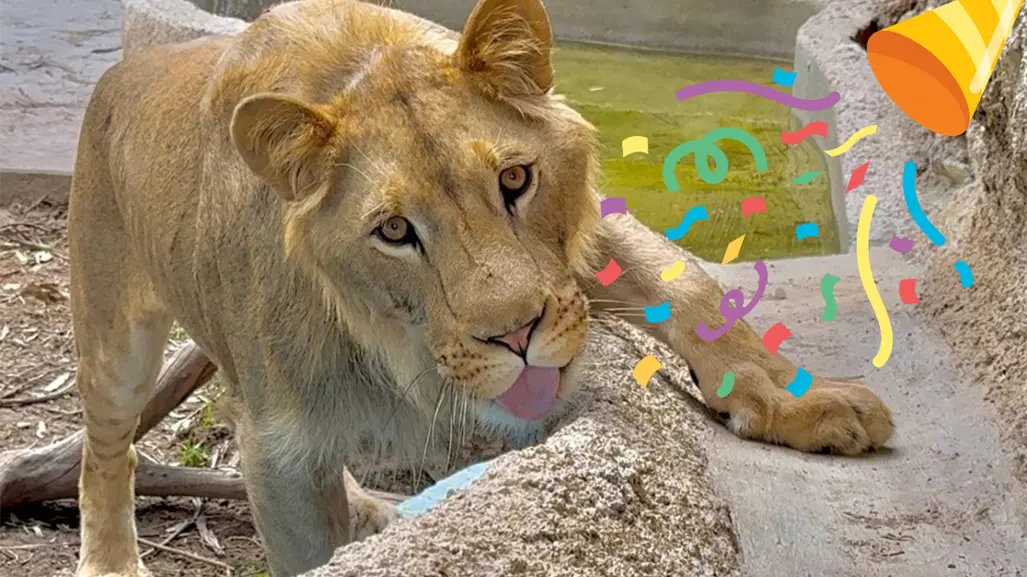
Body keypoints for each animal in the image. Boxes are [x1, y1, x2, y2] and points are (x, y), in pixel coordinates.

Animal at [66, 0, 894, 575]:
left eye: (515, 179)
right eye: (393, 230)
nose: (515, 335)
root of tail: (119, 72)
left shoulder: (580, 249)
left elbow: (689, 288)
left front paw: (797, 402)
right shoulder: (278, 447)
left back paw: (376, 510)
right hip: (113, 337)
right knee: (107, 454)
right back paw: (111, 560)